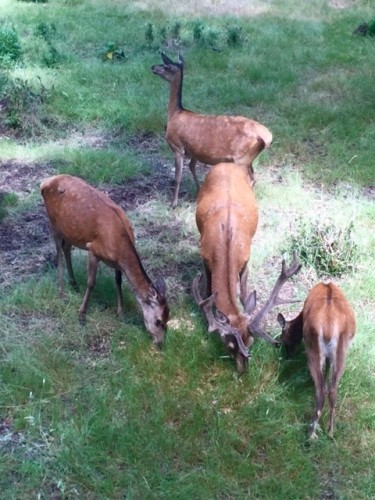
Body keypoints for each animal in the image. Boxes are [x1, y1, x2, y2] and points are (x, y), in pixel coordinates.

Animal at [40, 174, 170, 346]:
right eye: (158, 321)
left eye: (168, 318)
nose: (160, 343)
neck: (118, 245)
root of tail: (45, 182)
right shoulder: (93, 249)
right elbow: (91, 282)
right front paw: (81, 315)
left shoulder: (116, 263)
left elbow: (118, 281)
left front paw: (121, 313)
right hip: (53, 221)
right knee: (59, 252)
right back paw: (62, 292)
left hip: (69, 231)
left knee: (66, 248)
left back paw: (74, 284)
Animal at [152, 51, 274, 207]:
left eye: (165, 65)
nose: (153, 67)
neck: (174, 113)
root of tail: (267, 137)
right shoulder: (194, 150)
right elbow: (192, 167)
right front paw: (199, 191)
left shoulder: (177, 146)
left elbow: (178, 177)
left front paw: (173, 203)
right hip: (249, 158)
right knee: (254, 177)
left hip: (241, 158)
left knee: (249, 179)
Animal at [192, 162, 302, 374]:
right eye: (229, 345)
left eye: (250, 342)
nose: (243, 370)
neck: (225, 247)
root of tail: (227, 163)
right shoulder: (205, 257)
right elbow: (208, 290)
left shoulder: (245, 259)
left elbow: (243, 293)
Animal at [278, 284, 356, 440]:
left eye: (284, 339)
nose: (288, 356)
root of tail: (329, 328)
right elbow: (328, 368)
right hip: (342, 349)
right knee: (332, 389)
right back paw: (331, 431)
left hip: (312, 344)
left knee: (321, 389)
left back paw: (311, 434)